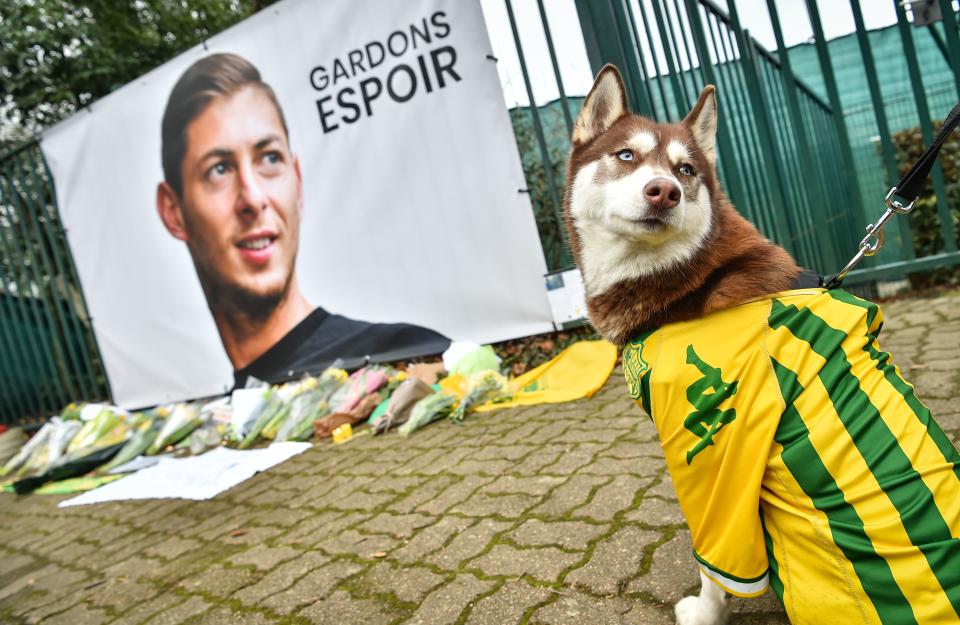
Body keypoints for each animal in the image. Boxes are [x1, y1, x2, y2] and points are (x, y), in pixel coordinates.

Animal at [564, 64, 960, 624]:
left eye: (686, 169)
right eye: (626, 156)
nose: (665, 191)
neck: (686, 282)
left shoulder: (709, 450)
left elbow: (713, 556)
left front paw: (706, 612)